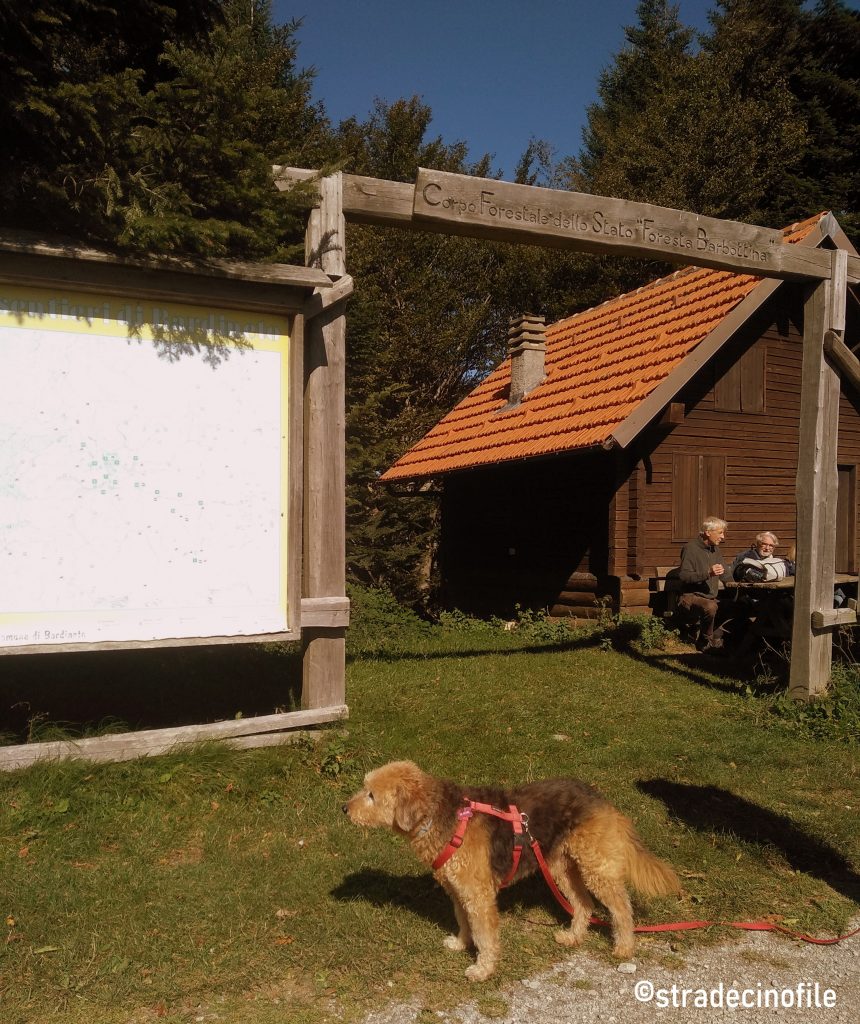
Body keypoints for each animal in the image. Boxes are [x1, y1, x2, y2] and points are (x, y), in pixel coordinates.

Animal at [341, 761, 679, 983]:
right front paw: (461, 944)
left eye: (371, 795)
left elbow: (485, 936)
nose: (344, 808)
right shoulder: (459, 892)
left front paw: (483, 969)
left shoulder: (478, 897)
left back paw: (623, 947)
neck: (442, 817)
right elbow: (464, 924)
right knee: (583, 904)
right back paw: (573, 937)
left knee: (621, 908)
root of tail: (598, 797)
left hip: (596, 869)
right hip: (562, 869)